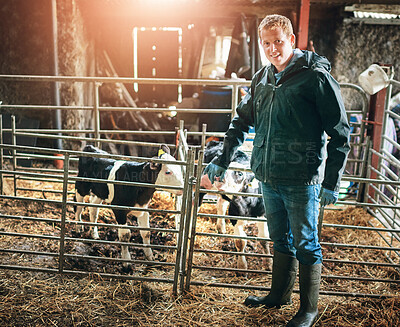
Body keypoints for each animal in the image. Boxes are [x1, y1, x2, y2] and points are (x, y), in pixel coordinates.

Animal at [200, 141, 272, 272]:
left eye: (239, 173)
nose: (218, 175)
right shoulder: (234, 215)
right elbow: (240, 242)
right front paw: (241, 267)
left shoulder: (263, 215)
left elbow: (264, 239)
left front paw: (268, 263)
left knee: (221, 204)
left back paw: (221, 227)